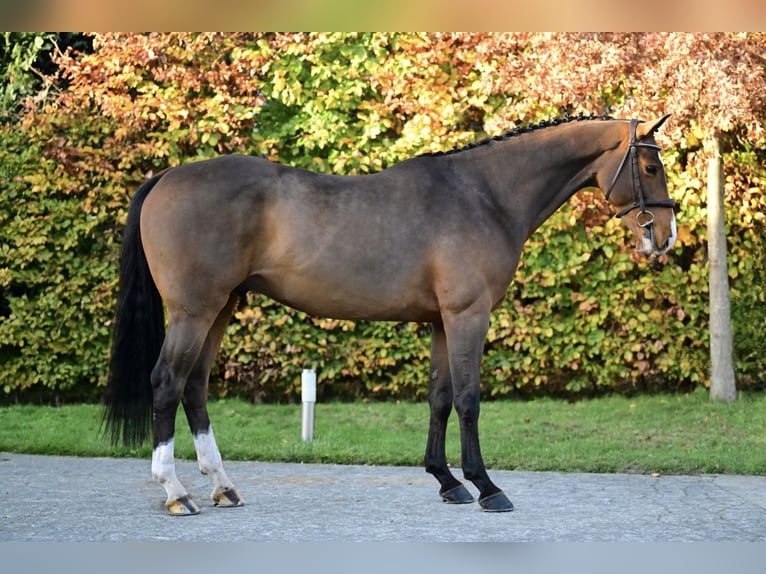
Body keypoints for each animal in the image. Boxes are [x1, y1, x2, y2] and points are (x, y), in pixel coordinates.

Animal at [103, 113, 676, 515]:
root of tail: (166, 177)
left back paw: (224, 486)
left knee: (195, 386)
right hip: (193, 311)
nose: (664, 238)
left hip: (221, 308)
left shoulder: (442, 321)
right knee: (167, 383)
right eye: (650, 167)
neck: (485, 195)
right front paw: (487, 487)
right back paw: (176, 492)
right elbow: (468, 400)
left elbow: (440, 399)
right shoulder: (468, 316)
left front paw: (447, 481)